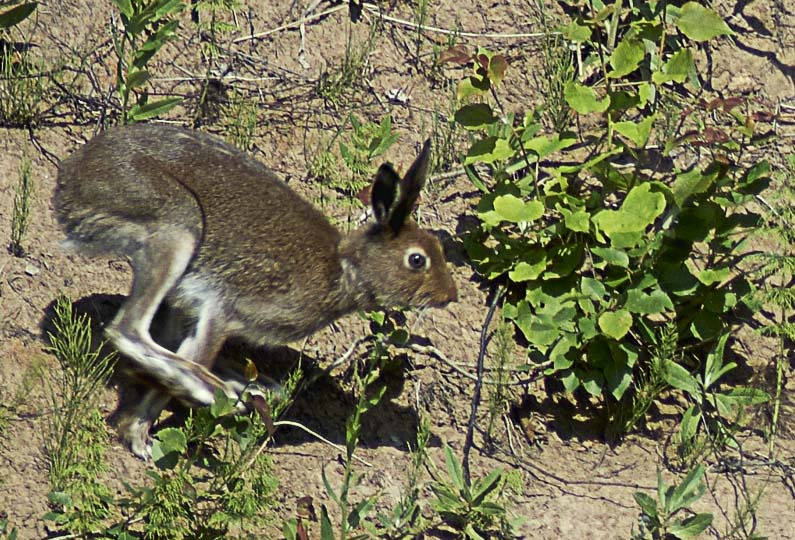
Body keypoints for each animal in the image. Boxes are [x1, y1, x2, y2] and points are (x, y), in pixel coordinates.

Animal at [54, 123, 457, 458]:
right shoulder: (223, 310)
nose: (449, 295)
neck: (344, 269)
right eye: (417, 260)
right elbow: (195, 354)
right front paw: (139, 435)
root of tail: (70, 182)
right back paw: (215, 390)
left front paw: (137, 430)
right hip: (175, 227)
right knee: (130, 330)